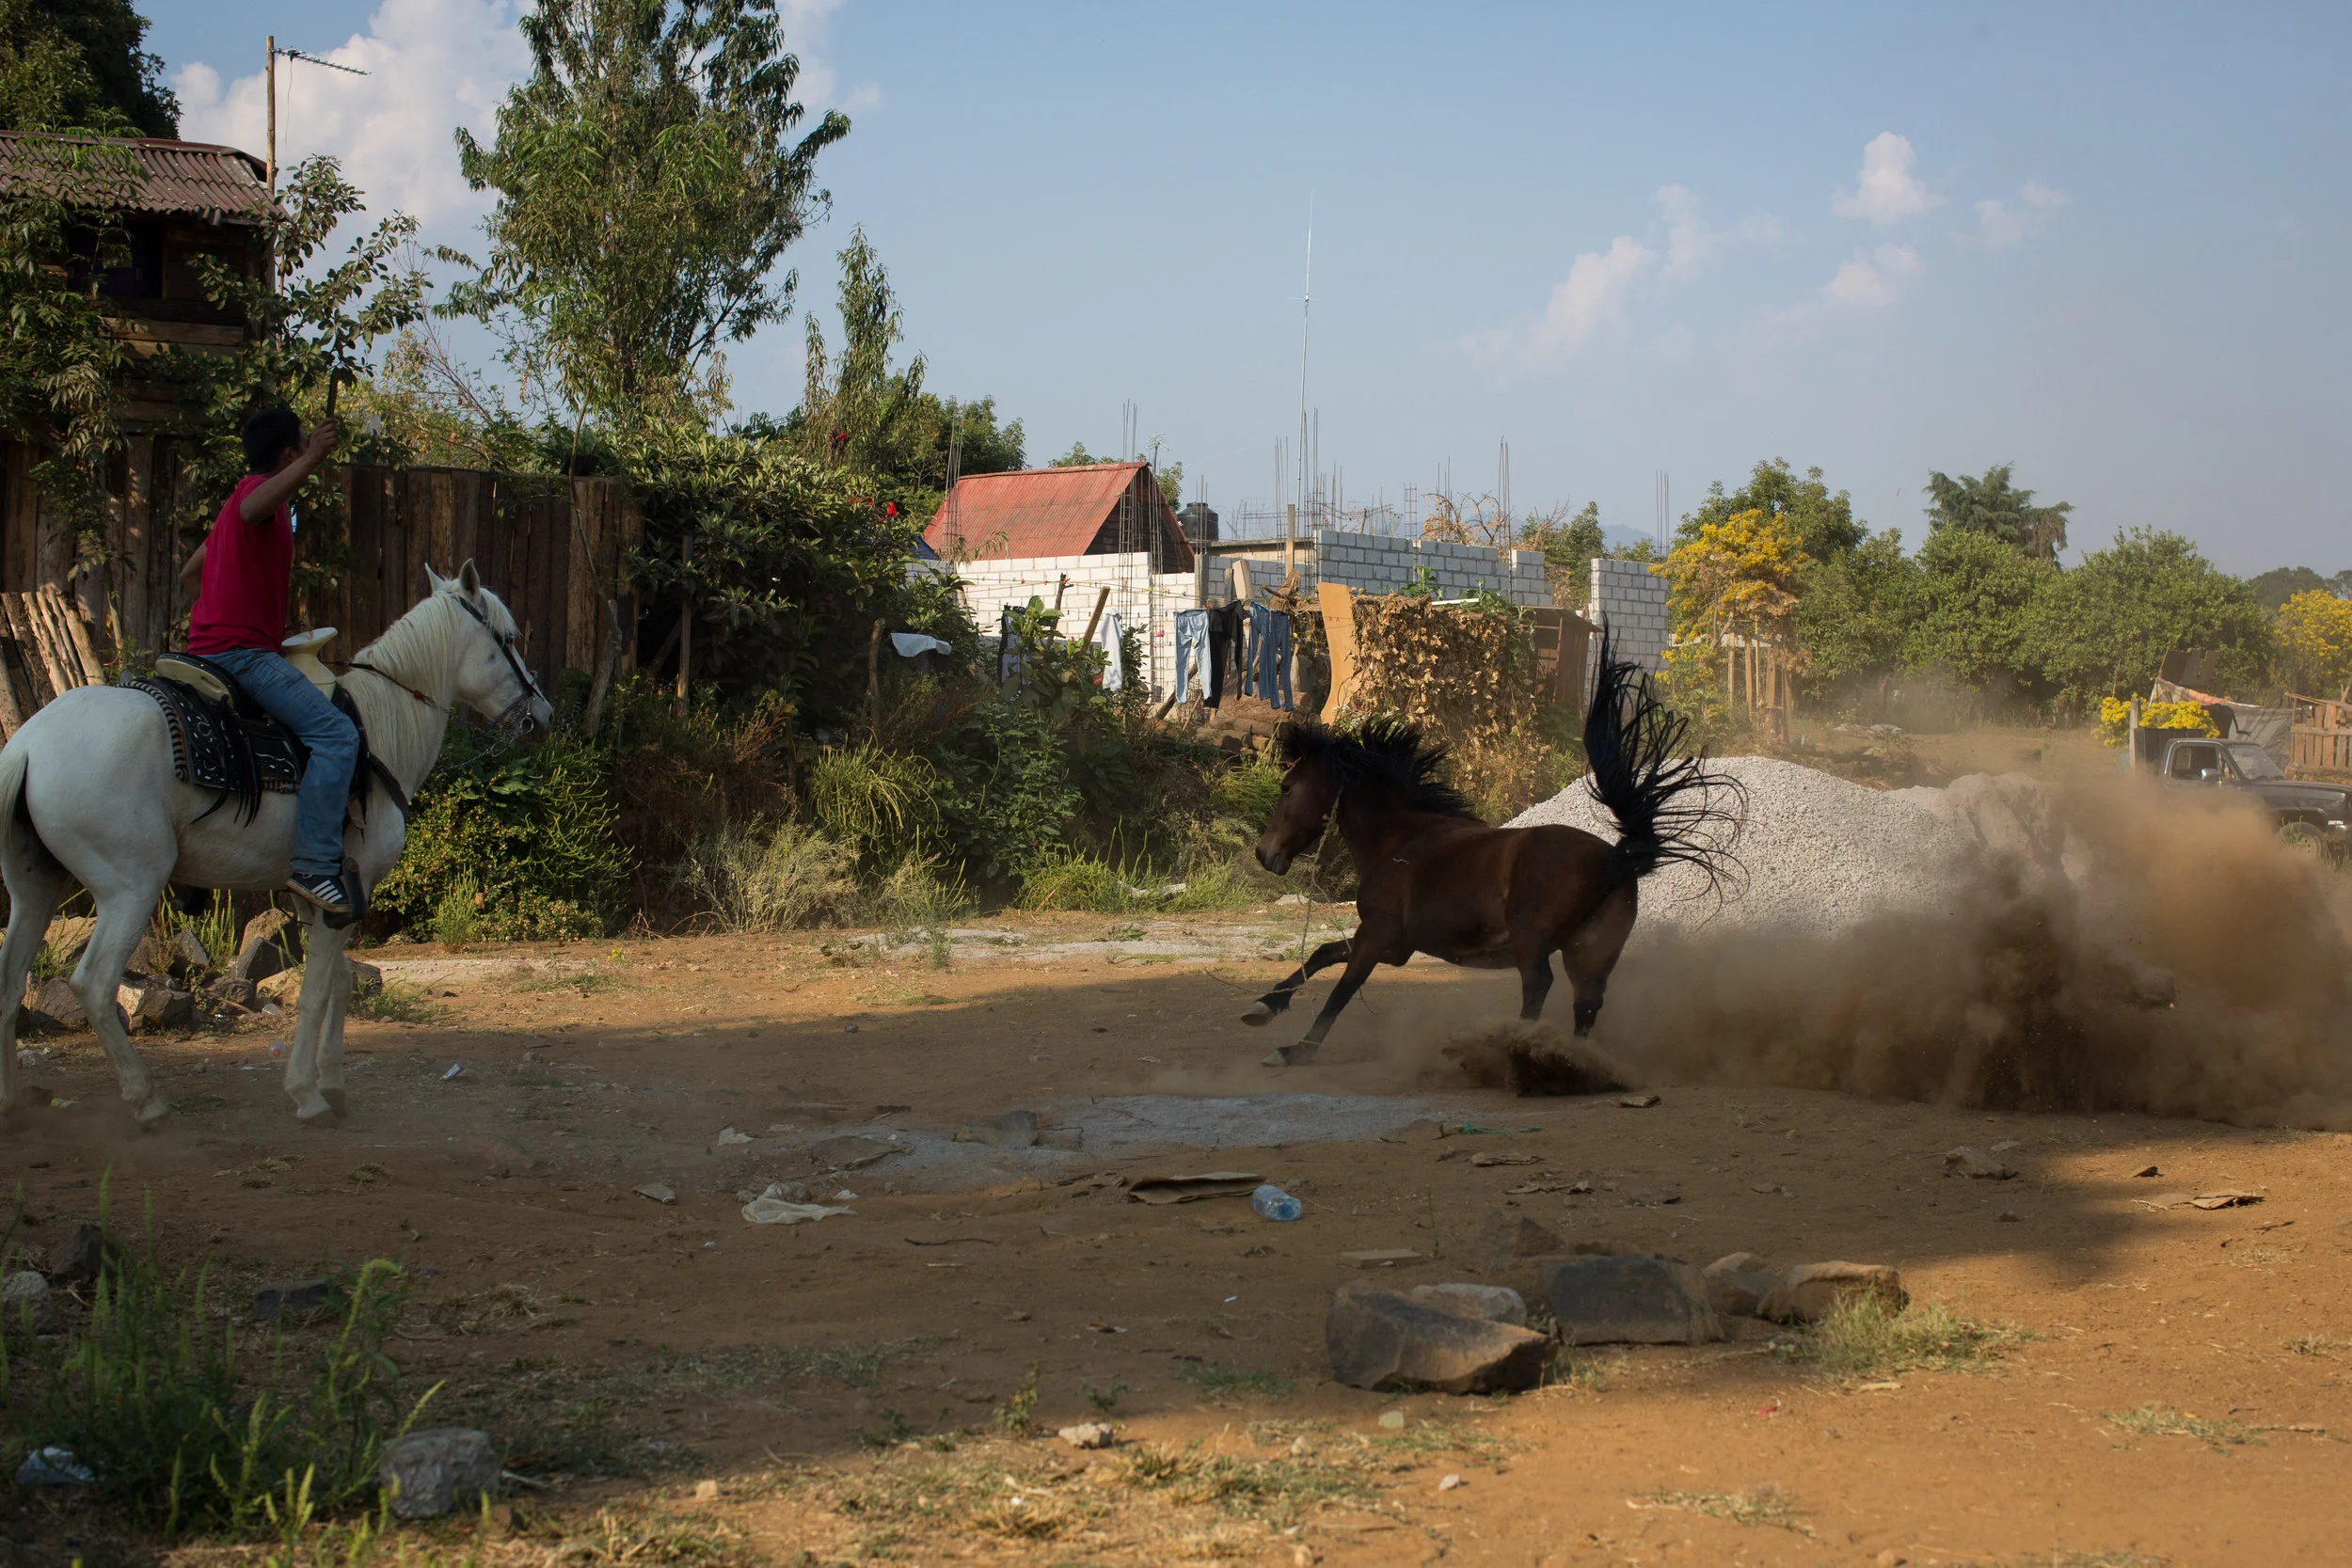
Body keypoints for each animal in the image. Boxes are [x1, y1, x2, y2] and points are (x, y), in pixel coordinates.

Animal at [0, 563, 552, 1127]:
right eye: (509, 638)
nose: (544, 713)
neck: (378, 731)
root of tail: (28, 745)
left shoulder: (314, 898)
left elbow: (339, 984)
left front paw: (332, 1083)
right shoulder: (348, 888)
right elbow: (315, 993)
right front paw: (308, 1094)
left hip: (35, 889)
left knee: (10, 982)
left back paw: (17, 1098)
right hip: (130, 887)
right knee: (94, 983)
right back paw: (145, 1101)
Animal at [1242, 634, 1744, 1066]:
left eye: (1287, 787)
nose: (1264, 853)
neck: (1401, 839)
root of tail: (1616, 859)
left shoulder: (1378, 935)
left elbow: (1341, 989)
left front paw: (1294, 1050)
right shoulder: (1395, 945)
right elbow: (1322, 954)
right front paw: (1263, 1007)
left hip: (1531, 937)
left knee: (1539, 986)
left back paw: (1515, 1049)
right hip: (1592, 948)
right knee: (1585, 1004)